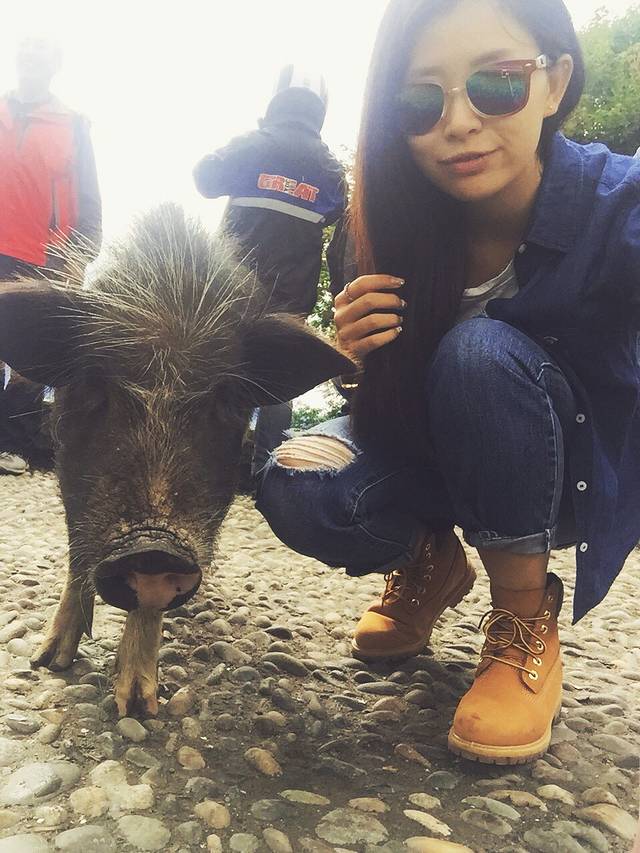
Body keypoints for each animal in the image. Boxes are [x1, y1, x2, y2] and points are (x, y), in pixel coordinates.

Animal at [0, 204, 352, 716]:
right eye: (92, 384)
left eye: (227, 399)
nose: (152, 547)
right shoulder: (70, 469)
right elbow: (77, 549)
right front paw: (50, 663)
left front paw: (140, 708)